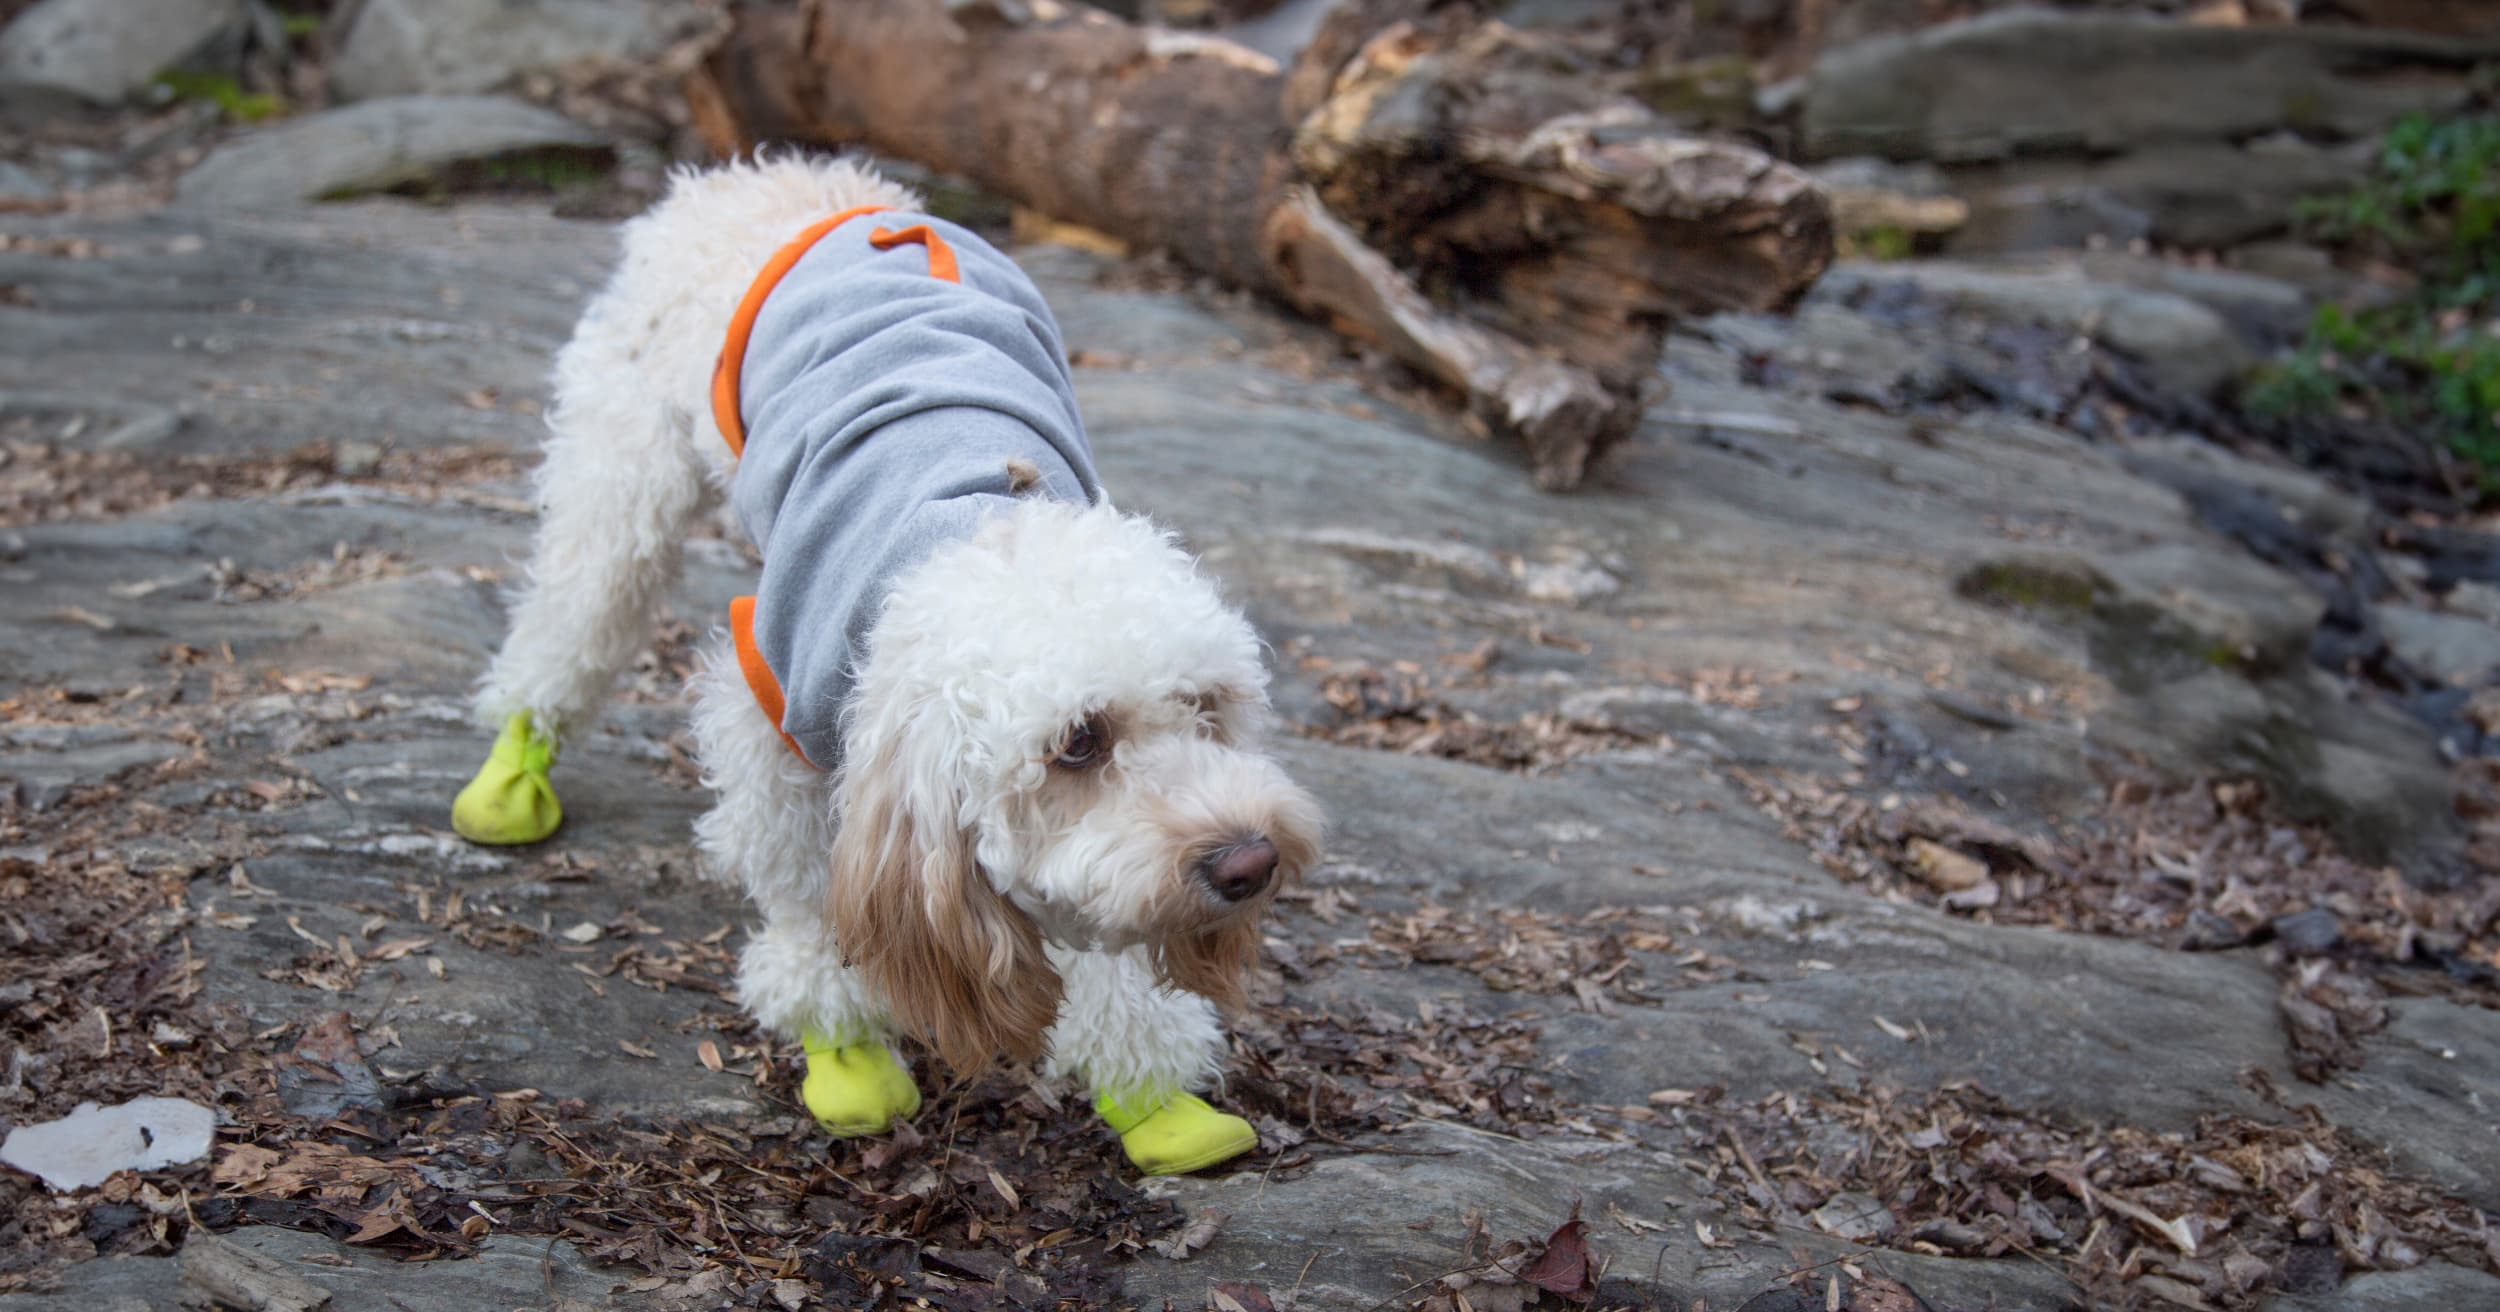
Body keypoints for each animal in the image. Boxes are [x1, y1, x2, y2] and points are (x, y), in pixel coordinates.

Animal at [445, 156, 1330, 1174]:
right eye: (1080, 742)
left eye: (1207, 705)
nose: (1250, 862)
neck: (973, 525)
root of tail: (781, 176)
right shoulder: (769, 700)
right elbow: (798, 884)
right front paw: (839, 1035)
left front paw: (1148, 1090)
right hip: (622, 472)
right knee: (574, 614)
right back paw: (515, 767)